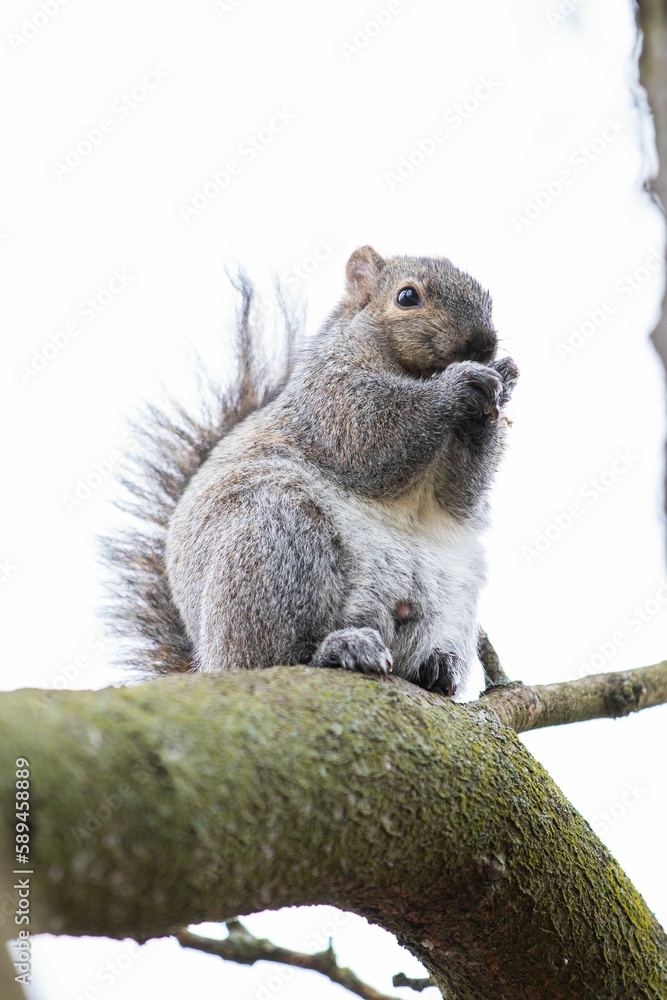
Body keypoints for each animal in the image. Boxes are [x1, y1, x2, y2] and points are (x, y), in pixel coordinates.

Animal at [104, 245, 518, 702]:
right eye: (407, 297)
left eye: (489, 298)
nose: (482, 343)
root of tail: (208, 661)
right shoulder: (331, 397)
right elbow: (375, 434)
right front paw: (461, 381)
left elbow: (460, 494)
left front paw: (505, 378)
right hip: (272, 542)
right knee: (275, 656)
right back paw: (337, 648)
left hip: (451, 595)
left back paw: (438, 667)